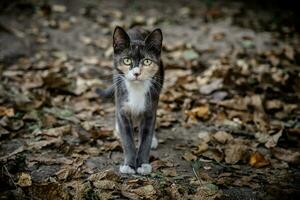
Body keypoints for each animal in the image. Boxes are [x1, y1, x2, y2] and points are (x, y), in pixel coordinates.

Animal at [98, 25, 164, 174]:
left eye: (147, 61)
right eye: (127, 60)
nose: (136, 73)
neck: (136, 89)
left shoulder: (150, 109)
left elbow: (146, 137)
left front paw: (143, 164)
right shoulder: (122, 107)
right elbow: (127, 139)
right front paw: (129, 165)